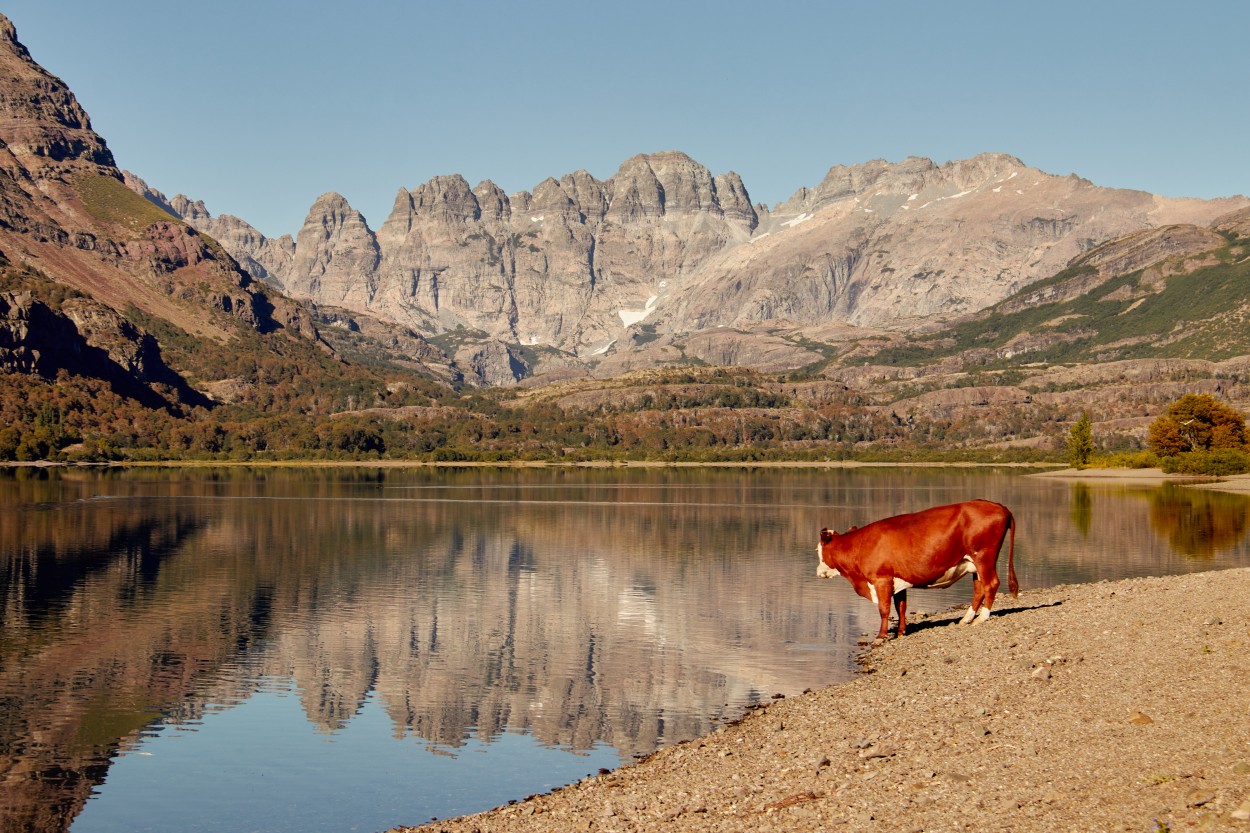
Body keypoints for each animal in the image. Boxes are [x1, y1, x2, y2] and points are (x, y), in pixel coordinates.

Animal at [820, 500, 1015, 640]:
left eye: (818, 550)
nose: (818, 571)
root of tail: (1000, 506)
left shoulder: (881, 580)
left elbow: (884, 609)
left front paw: (881, 636)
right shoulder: (898, 581)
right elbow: (901, 607)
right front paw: (901, 632)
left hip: (984, 558)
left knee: (991, 584)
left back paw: (982, 618)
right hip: (975, 564)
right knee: (979, 589)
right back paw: (966, 619)